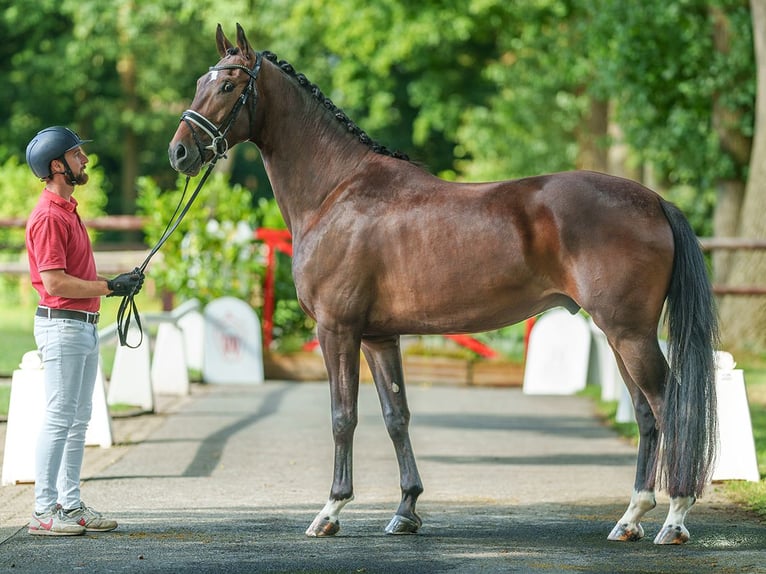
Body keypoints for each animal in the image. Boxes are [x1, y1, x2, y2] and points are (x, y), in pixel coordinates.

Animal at [168, 23, 720, 544]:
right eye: (199, 82)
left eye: (229, 84)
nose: (179, 153)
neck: (336, 191)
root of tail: (654, 201)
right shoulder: (378, 336)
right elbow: (396, 416)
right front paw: (405, 511)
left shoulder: (337, 330)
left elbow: (343, 416)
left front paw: (330, 511)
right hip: (620, 335)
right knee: (646, 415)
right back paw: (631, 518)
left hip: (630, 334)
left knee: (670, 408)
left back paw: (675, 519)